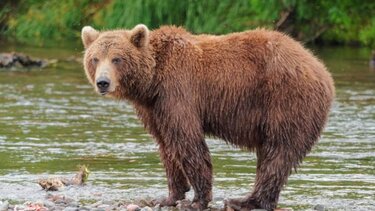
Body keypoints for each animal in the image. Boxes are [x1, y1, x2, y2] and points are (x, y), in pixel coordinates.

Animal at [81, 23, 334, 210]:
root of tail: (321, 69)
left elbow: (187, 141)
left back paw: (246, 201)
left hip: (286, 100)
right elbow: (166, 145)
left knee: (278, 152)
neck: (152, 81)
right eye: (95, 58)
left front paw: (197, 200)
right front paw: (168, 196)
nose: (103, 82)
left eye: (117, 58)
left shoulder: (178, 91)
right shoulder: (154, 108)